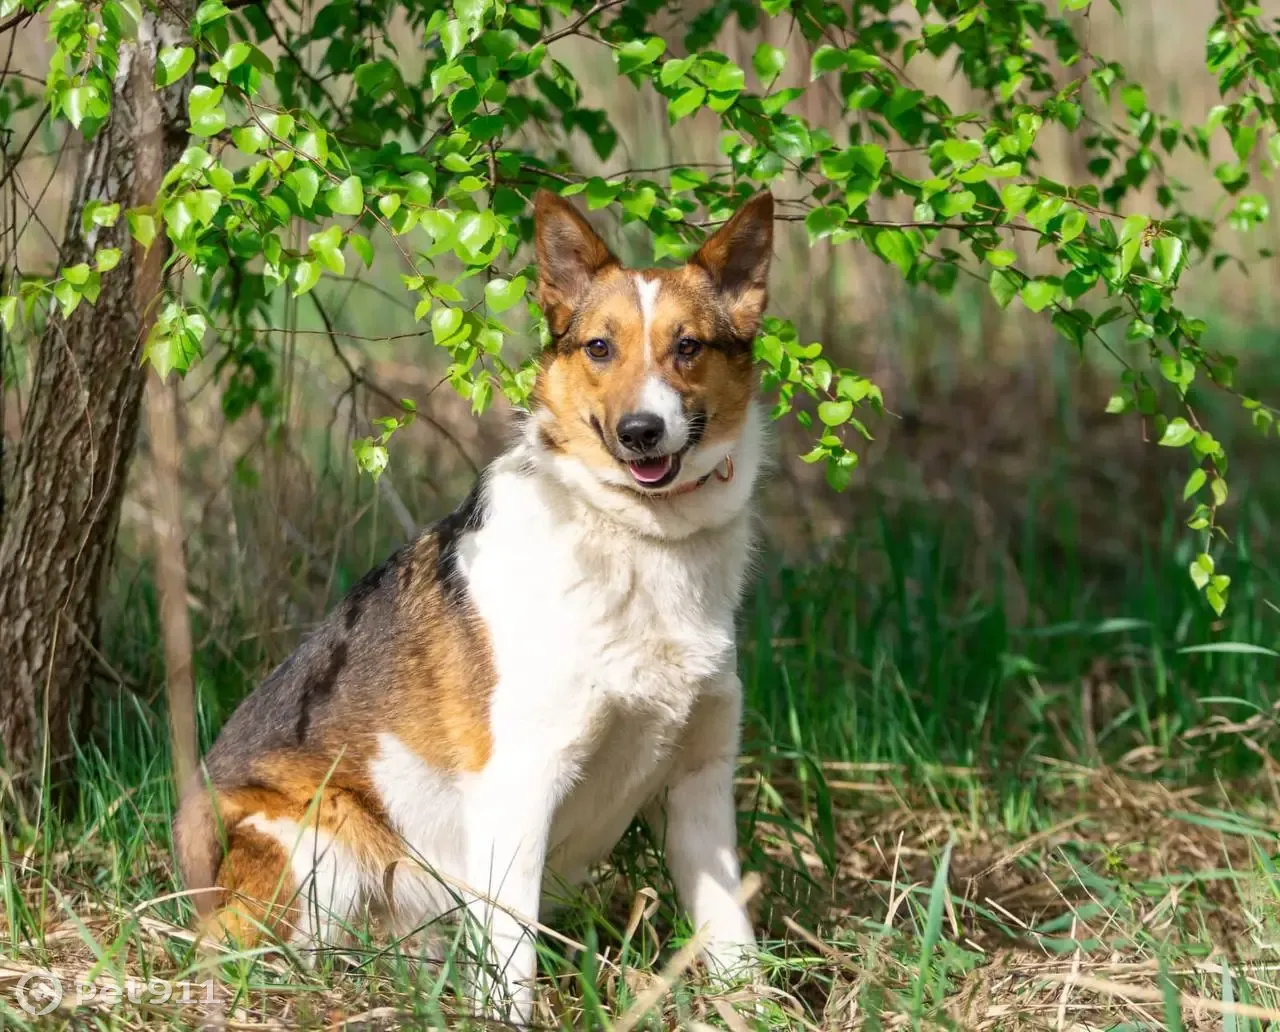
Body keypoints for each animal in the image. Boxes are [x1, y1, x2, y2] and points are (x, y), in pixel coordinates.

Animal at [175, 188, 773, 1024]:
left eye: (687, 347)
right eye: (599, 347)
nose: (640, 432)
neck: (637, 539)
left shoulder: (699, 789)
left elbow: (733, 946)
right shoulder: (520, 788)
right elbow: (511, 964)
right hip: (326, 848)